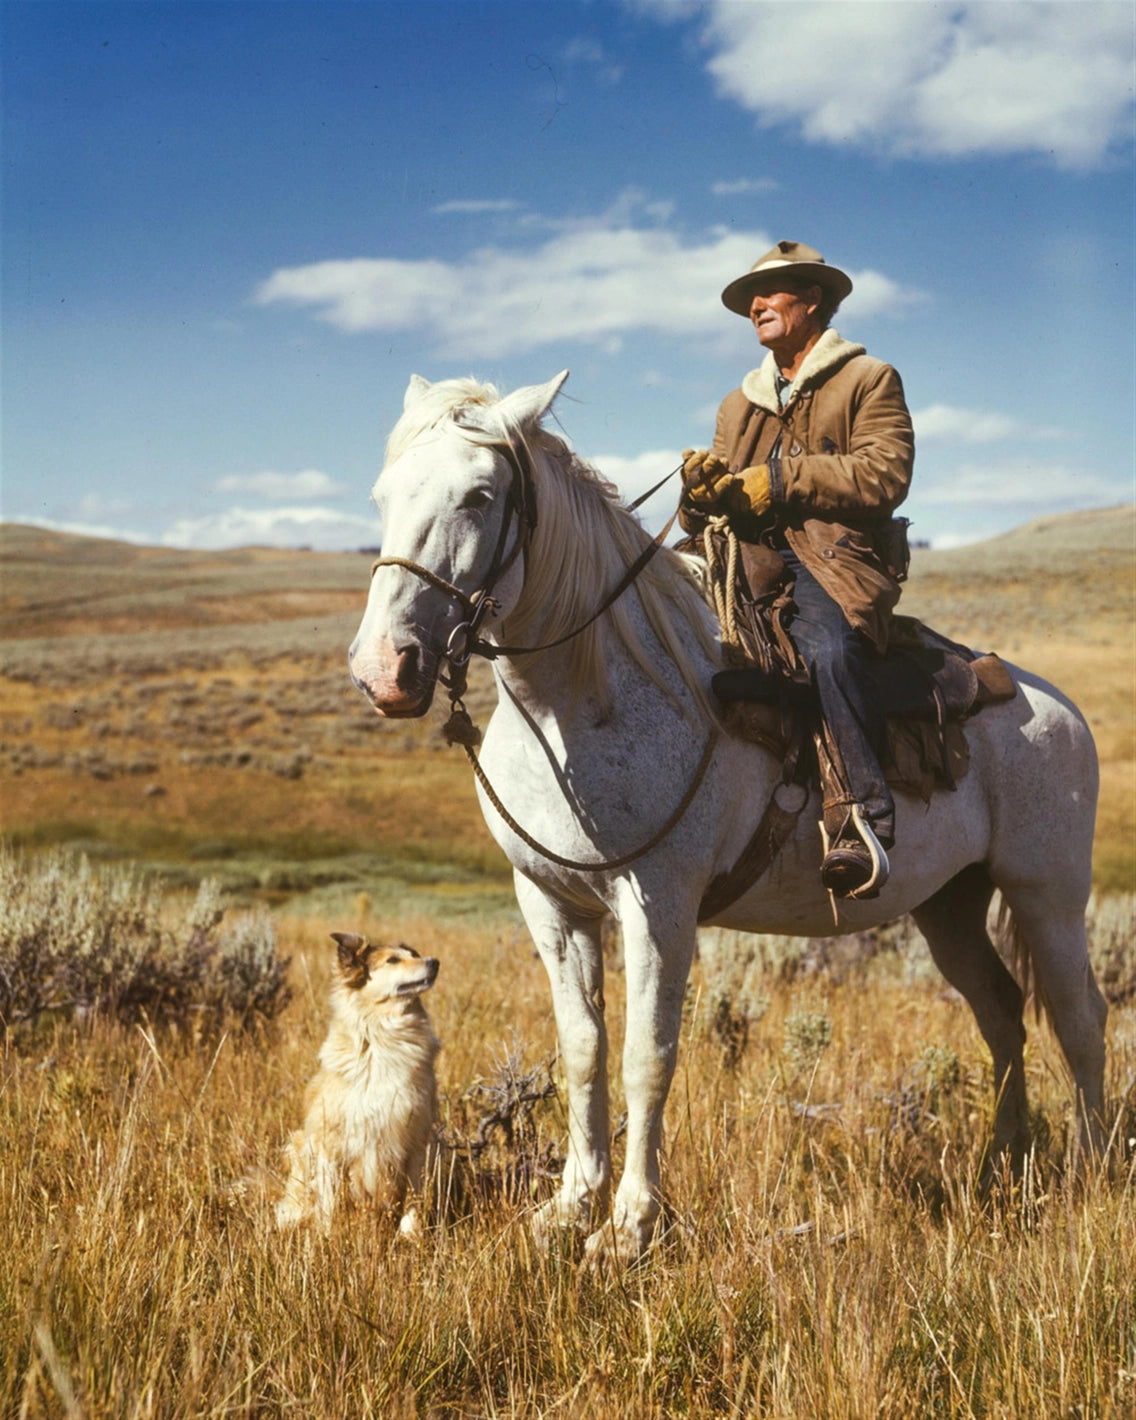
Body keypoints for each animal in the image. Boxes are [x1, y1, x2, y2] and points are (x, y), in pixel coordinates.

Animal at [275, 931, 440, 1232]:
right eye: (393, 960)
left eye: (415, 954)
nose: (434, 962)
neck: (384, 1038)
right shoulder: (331, 1142)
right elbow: (329, 1204)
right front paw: (327, 1237)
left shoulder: (417, 1138)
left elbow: (414, 1198)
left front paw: (411, 1236)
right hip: (300, 1144)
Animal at [350, 372, 1107, 1260]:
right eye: (381, 494)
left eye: (478, 495)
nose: (384, 670)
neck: (589, 695)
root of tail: (1053, 705)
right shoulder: (550, 903)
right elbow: (583, 1050)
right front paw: (569, 1207)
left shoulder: (661, 903)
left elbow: (647, 1056)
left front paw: (629, 1227)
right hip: (949, 904)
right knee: (1002, 1015)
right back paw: (1001, 1164)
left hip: (1047, 892)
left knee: (1080, 1019)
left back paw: (1089, 1172)